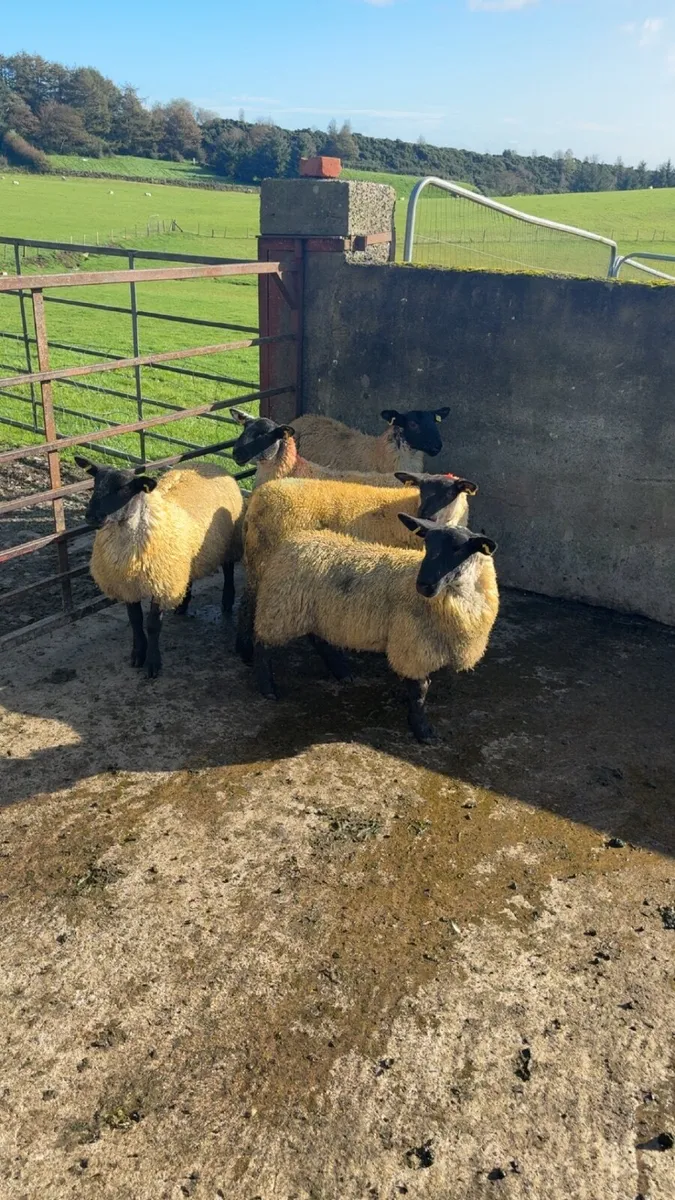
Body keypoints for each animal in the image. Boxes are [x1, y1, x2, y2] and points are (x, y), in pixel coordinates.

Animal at [76, 456, 245, 678]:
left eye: (123, 489)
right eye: (95, 484)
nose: (91, 516)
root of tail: (208, 463)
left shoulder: (160, 583)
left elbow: (153, 625)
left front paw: (153, 663)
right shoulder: (128, 585)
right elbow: (135, 621)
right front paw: (138, 654)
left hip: (229, 540)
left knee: (228, 569)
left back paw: (227, 601)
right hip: (183, 557)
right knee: (187, 576)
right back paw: (183, 604)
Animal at [236, 472, 477, 663]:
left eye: (449, 494)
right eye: (422, 491)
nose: (426, 517)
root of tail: (258, 499)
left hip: (261, 561)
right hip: (274, 563)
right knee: (252, 603)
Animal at [252, 519, 498, 743]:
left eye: (458, 548)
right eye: (427, 544)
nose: (423, 585)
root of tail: (295, 539)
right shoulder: (411, 646)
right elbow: (420, 691)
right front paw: (423, 730)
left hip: (317, 613)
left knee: (319, 640)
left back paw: (342, 672)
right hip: (280, 610)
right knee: (262, 646)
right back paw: (268, 689)